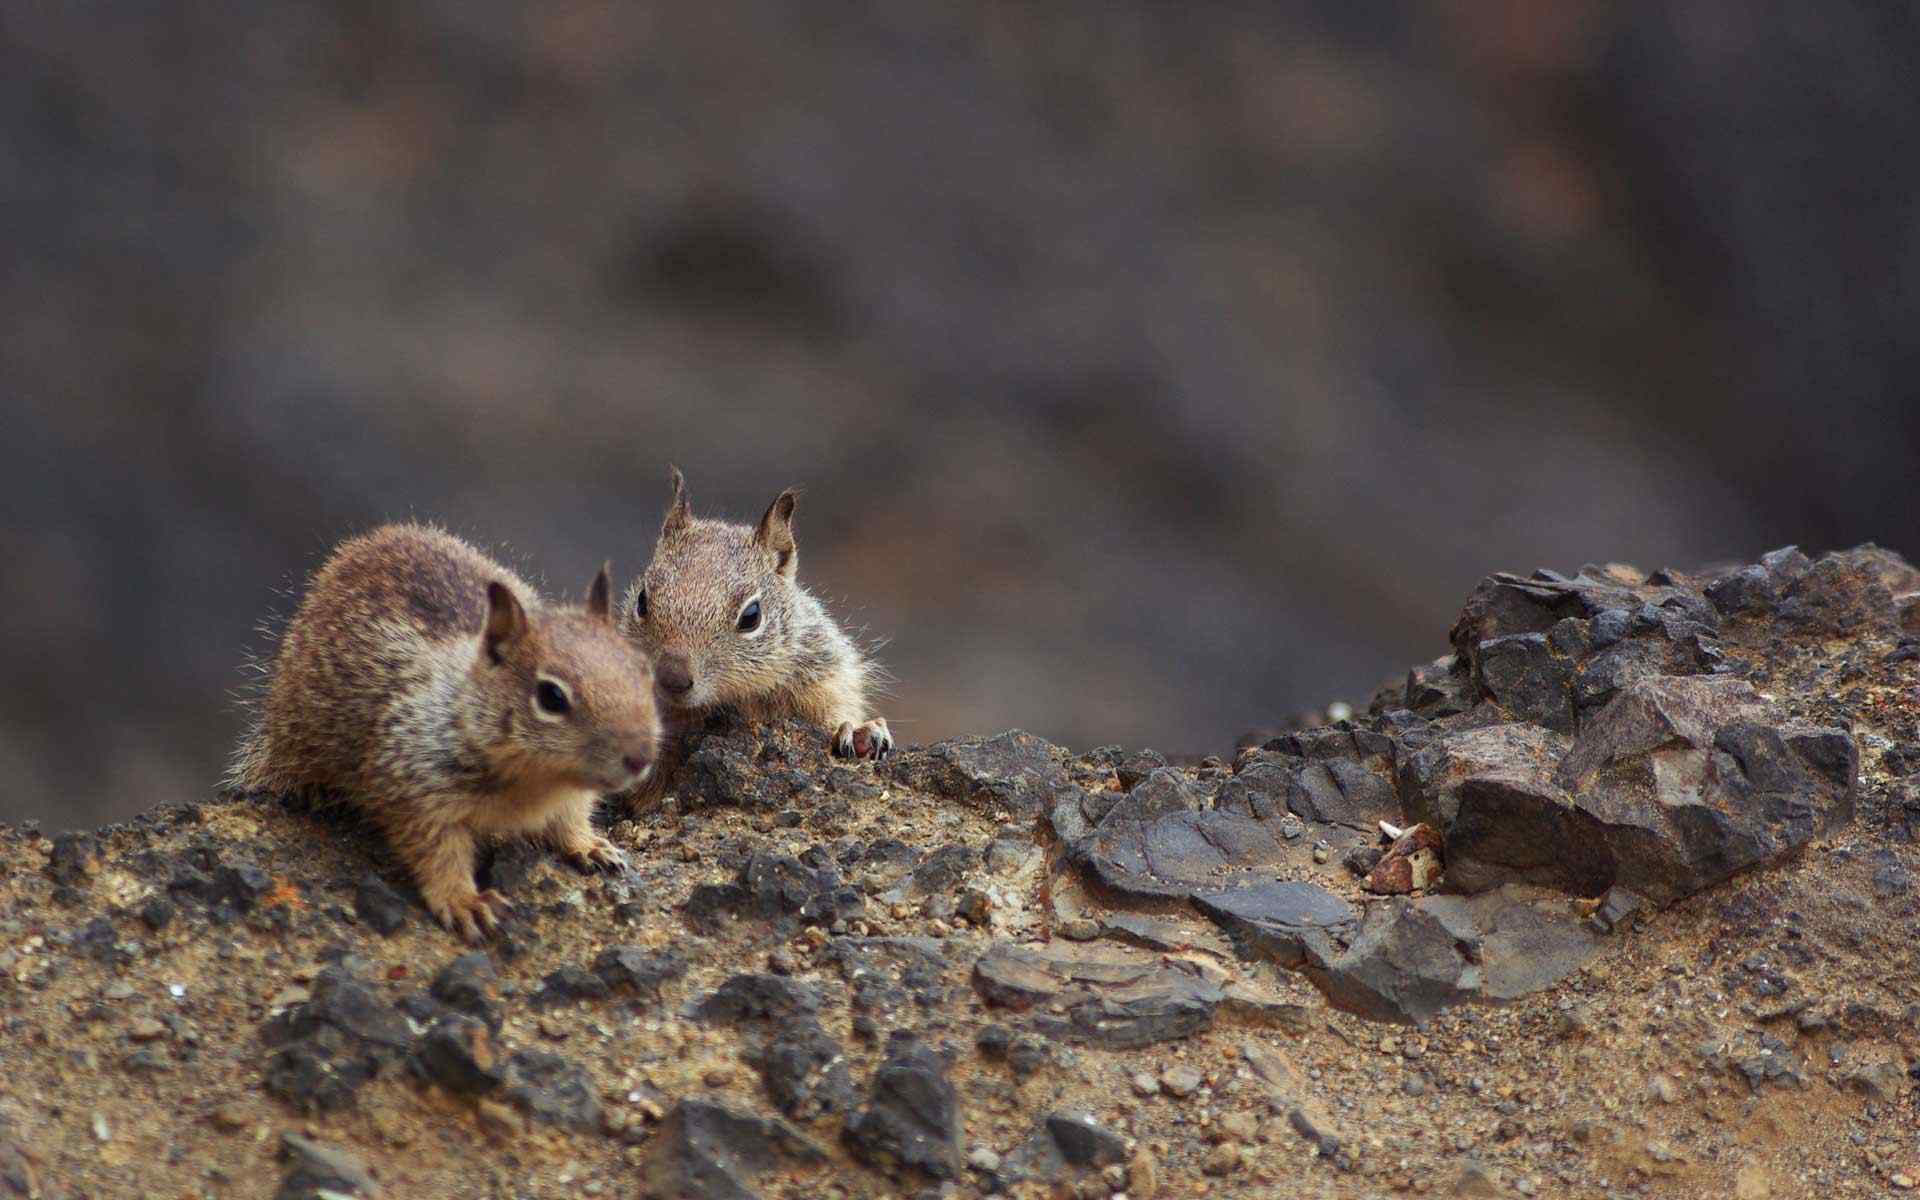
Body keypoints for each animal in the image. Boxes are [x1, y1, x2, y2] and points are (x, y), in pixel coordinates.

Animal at [226, 522, 652, 944]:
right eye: (551, 696)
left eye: (640, 668)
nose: (641, 758)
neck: (538, 782)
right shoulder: (415, 786)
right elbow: (437, 853)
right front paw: (464, 902)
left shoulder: (570, 798)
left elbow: (570, 820)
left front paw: (590, 846)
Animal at [622, 462, 890, 783]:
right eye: (642, 600)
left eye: (751, 616)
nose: (672, 679)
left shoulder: (828, 675)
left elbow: (838, 708)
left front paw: (861, 732)